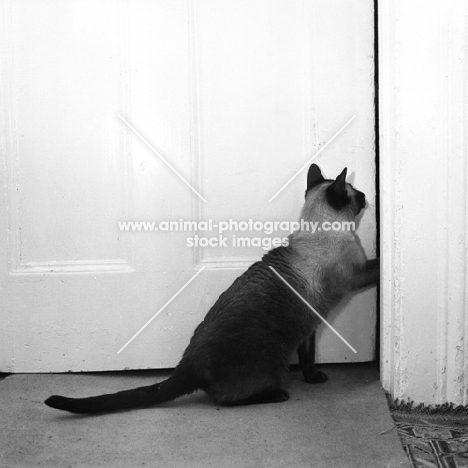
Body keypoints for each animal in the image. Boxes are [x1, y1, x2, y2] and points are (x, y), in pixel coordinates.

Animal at [44, 164, 380, 414]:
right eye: (357, 193)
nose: (367, 197)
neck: (319, 230)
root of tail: (187, 364)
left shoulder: (309, 328)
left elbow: (309, 357)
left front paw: (313, 378)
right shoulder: (357, 275)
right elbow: (377, 265)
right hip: (269, 364)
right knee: (224, 399)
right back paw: (276, 394)